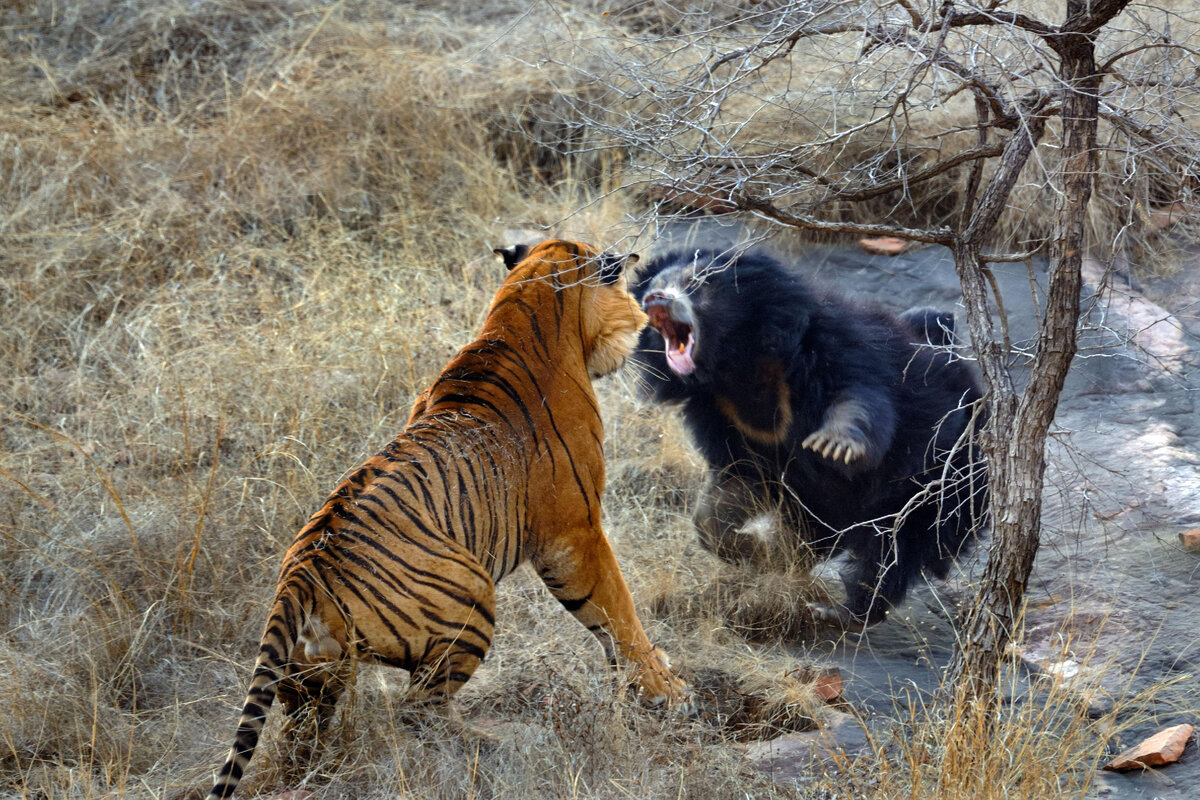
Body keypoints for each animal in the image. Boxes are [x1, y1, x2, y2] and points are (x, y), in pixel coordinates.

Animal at [205, 239, 691, 800]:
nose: (643, 318)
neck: (523, 310)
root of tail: (299, 575)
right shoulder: (574, 532)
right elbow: (617, 611)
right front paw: (667, 691)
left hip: (312, 679)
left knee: (305, 737)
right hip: (471, 597)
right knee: (418, 709)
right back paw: (498, 745)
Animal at [633, 247, 988, 628]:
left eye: (696, 284)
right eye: (654, 287)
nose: (655, 300)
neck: (737, 366)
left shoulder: (834, 349)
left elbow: (859, 399)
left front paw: (834, 446)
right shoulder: (722, 416)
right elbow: (732, 488)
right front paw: (757, 551)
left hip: (941, 481)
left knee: (895, 549)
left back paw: (843, 610)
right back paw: (791, 556)